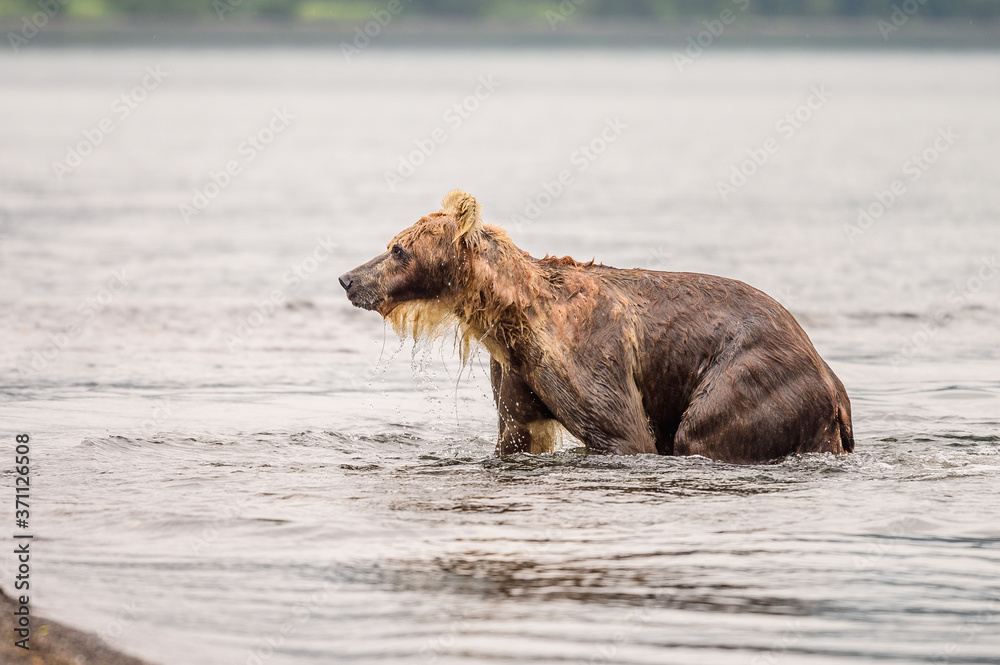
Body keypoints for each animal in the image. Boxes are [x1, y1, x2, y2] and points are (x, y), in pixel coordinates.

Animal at [339, 190, 854, 464]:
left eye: (398, 249)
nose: (349, 279)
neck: (513, 316)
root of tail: (833, 382)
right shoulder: (517, 371)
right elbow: (516, 431)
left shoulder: (587, 357)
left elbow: (621, 431)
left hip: (751, 375)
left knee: (703, 430)